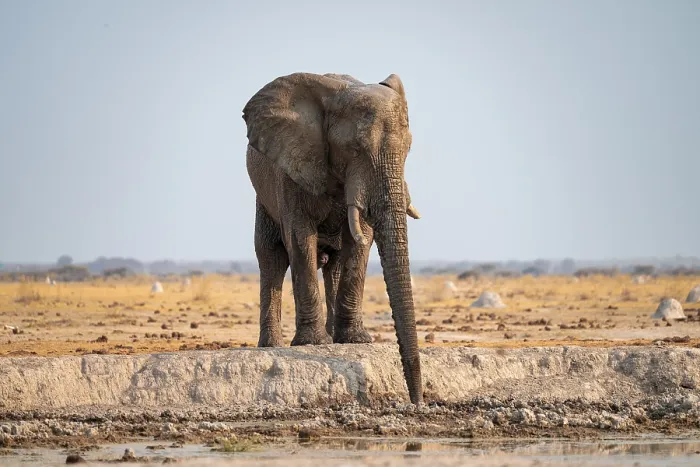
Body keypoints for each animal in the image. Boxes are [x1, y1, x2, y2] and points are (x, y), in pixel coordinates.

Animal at [242, 72, 423, 405]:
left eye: (408, 150)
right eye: (355, 149)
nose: (418, 401)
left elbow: (360, 239)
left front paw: (357, 341)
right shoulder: (292, 169)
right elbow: (300, 238)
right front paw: (311, 344)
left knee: (335, 264)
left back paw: (337, 338)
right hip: (263, 196)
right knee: (271, 258)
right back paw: (271, 345)